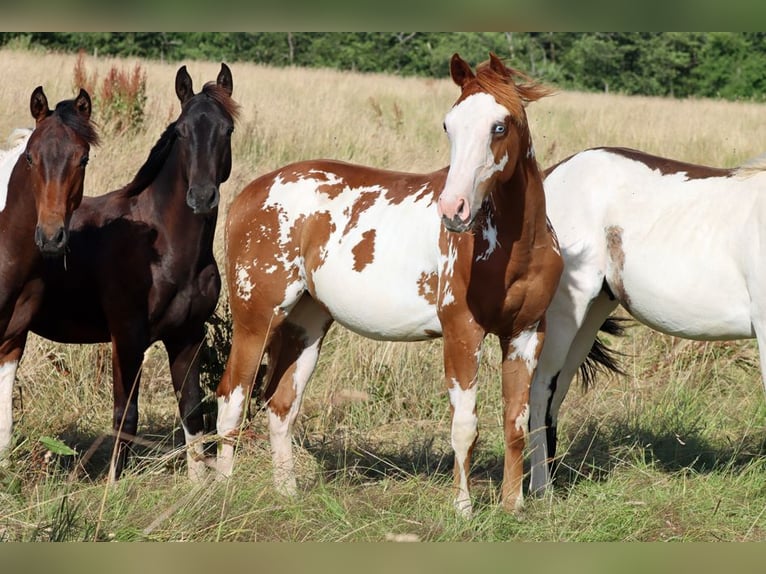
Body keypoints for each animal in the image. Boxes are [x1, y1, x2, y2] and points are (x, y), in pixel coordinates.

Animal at [19, 63, 239, 481]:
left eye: (227, 130)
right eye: (181, 132)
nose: (202, 197)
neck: (165, 248)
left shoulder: (187, 336)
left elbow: (192, 409)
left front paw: (198, 482)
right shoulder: (127, 337)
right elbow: (126, 415)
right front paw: (113, 483)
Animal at [215, 52, 562, 516]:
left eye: (499, 127)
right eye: (448, 125)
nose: (453, 210)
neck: (515, 247)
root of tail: (249, 194)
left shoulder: (525, 334)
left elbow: (517, 423)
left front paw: (513, 506)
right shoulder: (462, 332)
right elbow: (465, 426)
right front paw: (463, 510)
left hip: (306, 324)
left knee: (281, 405)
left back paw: (286, 492)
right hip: (257, 319)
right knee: (231, 397)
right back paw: (216, 490)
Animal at [528, 145, 766, 495]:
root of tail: (551, 175)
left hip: (591, 314)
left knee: (556, 392)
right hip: (564, 312)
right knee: (540, 388)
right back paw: (540, 490)